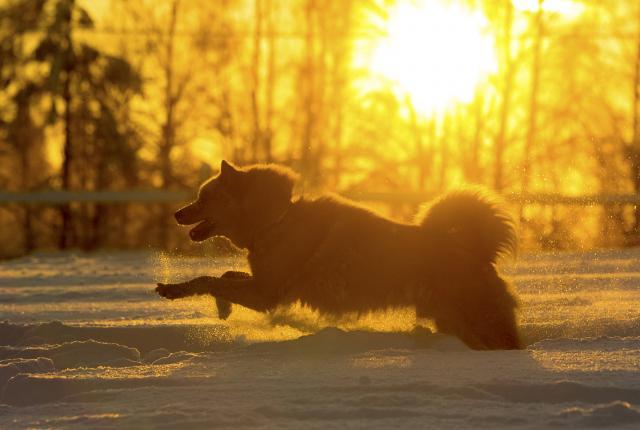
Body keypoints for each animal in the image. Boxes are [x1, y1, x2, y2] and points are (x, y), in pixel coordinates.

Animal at [158, 160, 524, 350]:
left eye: (205, 198)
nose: (176, 213)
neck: (277, 220)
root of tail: (479, 252)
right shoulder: (265, 286)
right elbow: (223, 277)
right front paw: (223, 309)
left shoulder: (266, 294)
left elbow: (207, 279)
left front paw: (173, 290)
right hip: (452, 321)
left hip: (478, 324)